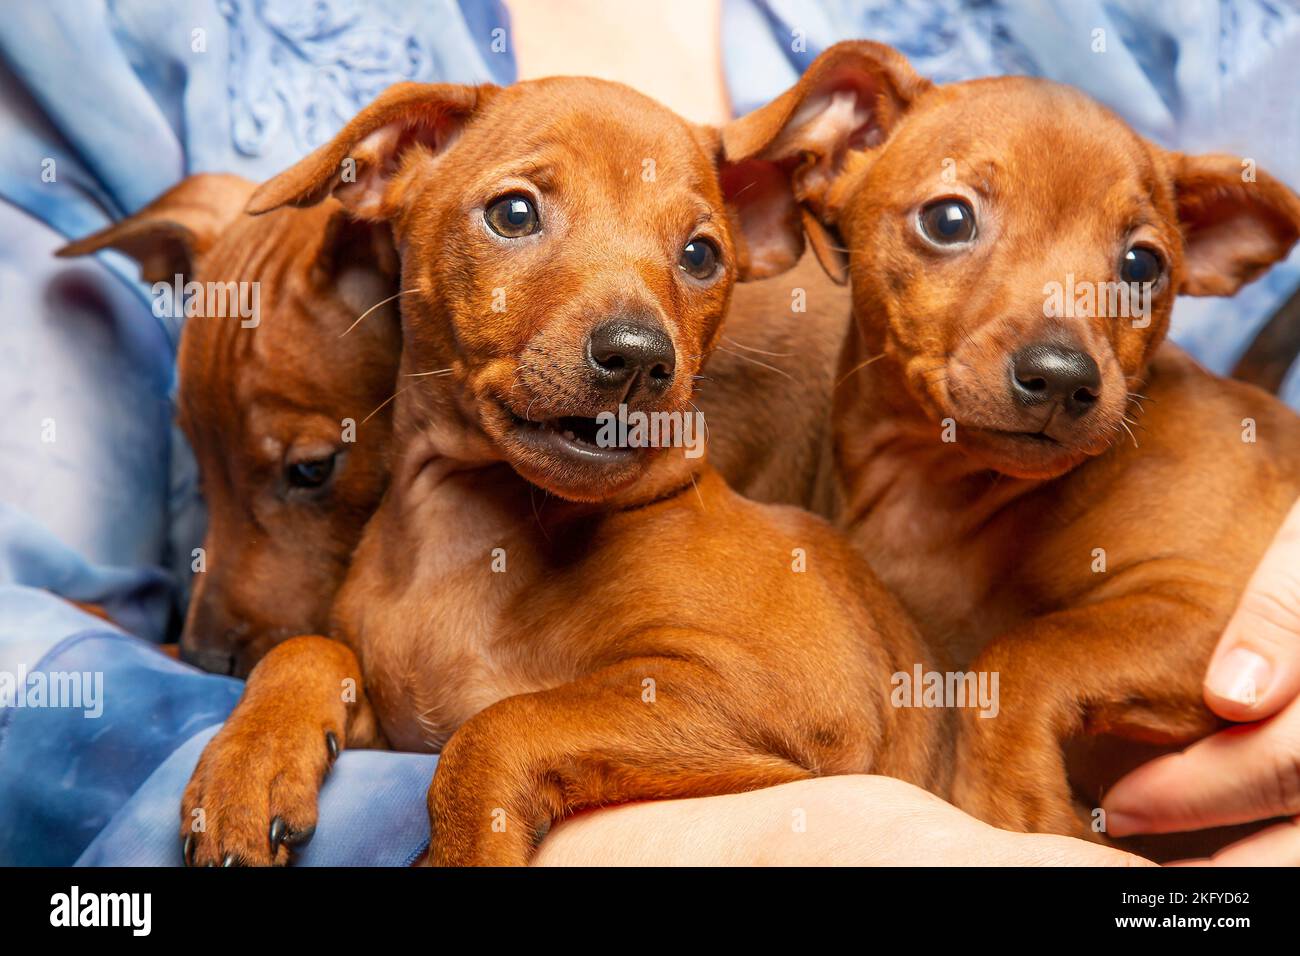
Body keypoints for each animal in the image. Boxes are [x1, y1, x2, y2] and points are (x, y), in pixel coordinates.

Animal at [175, 76, 946, 868]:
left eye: (701, 255)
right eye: (513, 214)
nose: (639, 356)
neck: (461, 544)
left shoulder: (792, 694)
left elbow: (502, 723)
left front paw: (463, 850)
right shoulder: (401, 728)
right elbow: (307, 647)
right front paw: (250, 765)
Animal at [728, 41, 1300, 842]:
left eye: (1143, 265)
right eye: (948, 219)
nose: (1062, 378)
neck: (937, 497)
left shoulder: (1209, 609)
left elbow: (1025, 654)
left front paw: (1014, 800)